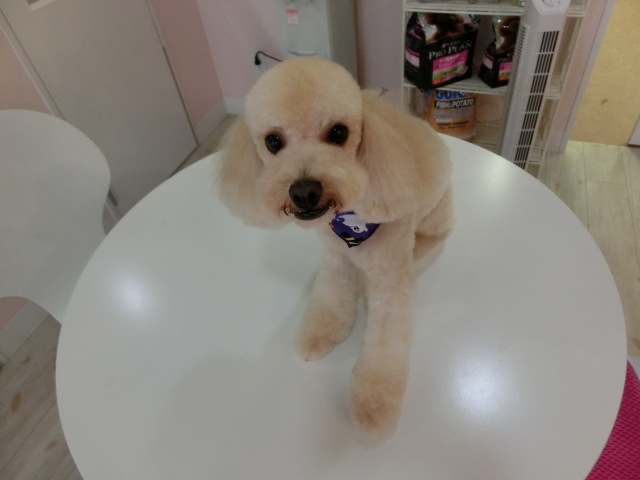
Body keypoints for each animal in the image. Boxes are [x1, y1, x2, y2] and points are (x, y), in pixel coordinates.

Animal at [217, 57, 453, 439]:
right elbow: (331, 299)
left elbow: (385, 343)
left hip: (437, 213)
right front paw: (319, 334)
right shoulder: (335, 258)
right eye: (272, 141)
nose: (304, 191)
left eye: (339, 133)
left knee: (436, 234)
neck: (351, 223)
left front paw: (374, 406)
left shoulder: (390, 280)